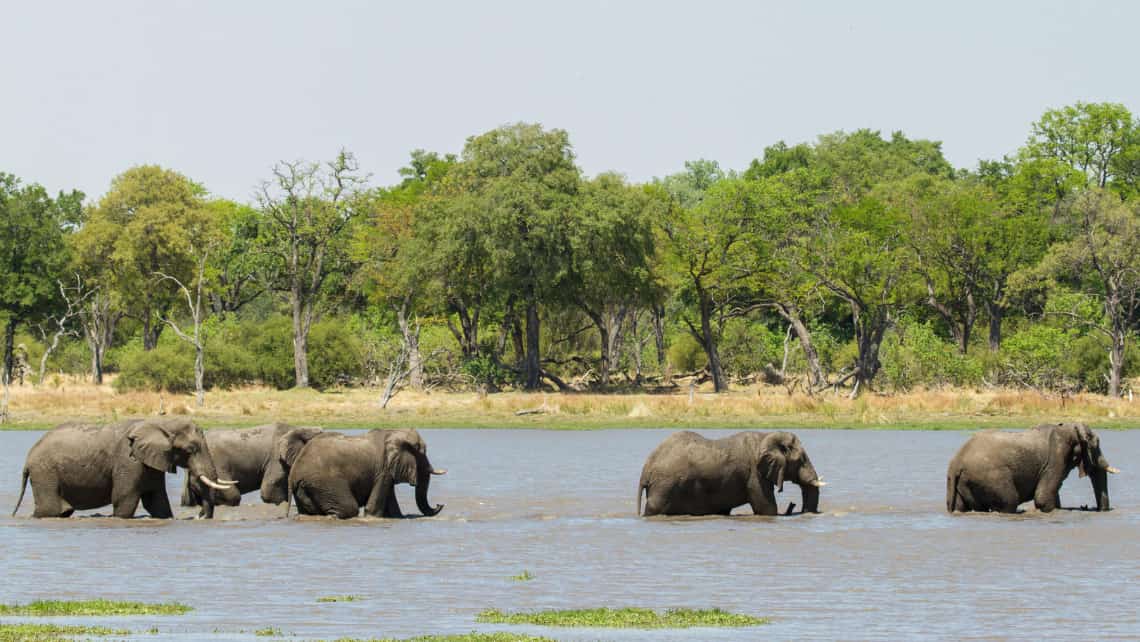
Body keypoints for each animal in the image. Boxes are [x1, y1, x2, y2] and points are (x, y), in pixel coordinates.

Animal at [12, 419, 234, 519]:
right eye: (190, 450)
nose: (200, 516)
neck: (160, 423)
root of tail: (28, 458)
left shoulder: (151, 463)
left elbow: (157, 502)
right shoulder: (129, 462)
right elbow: (124, 499)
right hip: (45, 472)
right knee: (50, 510)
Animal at [289, 428, 444, 519]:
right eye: (422, 453)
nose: (439, 504)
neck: (392, 432)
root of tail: (294, 475)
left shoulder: (386, 471)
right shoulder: (384, 469)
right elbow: (373, 509)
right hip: (325, 482)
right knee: (348, 509)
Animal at [943, 421, 1121, 513]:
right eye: (1096, 444)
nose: (1096, 509)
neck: (1069, 427)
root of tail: (955, 463)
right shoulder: (1057, 457)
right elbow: (1043, 497)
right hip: (990, 477)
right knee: (1009, 501)